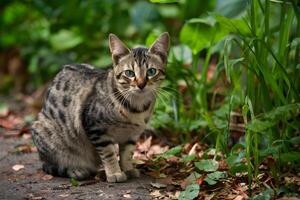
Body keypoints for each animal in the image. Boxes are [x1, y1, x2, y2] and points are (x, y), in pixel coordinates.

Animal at [31, 32, 170, 182]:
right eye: (129, 73)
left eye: (151, 71)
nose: (141, 85)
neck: (136, 108)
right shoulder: (96, 128)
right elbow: (109, 154)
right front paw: (114, 173)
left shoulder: (132, 135)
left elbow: (127, 153)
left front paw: (128, 168)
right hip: (45, 133)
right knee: (53, 164)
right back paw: (75, 170)